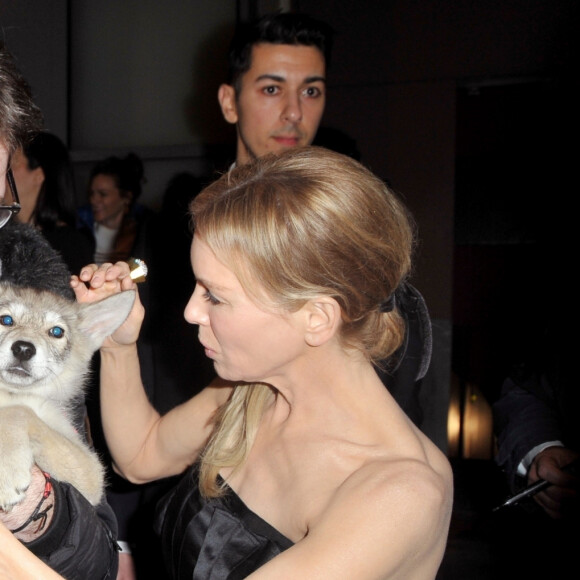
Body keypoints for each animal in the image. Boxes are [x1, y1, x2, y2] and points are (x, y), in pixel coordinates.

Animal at [0, 284, 135, 510]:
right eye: (6, 320)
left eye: (56, 332)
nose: (23, 349)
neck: (12, 392)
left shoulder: (91, 471)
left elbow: (18, 411)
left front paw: (5, 470)